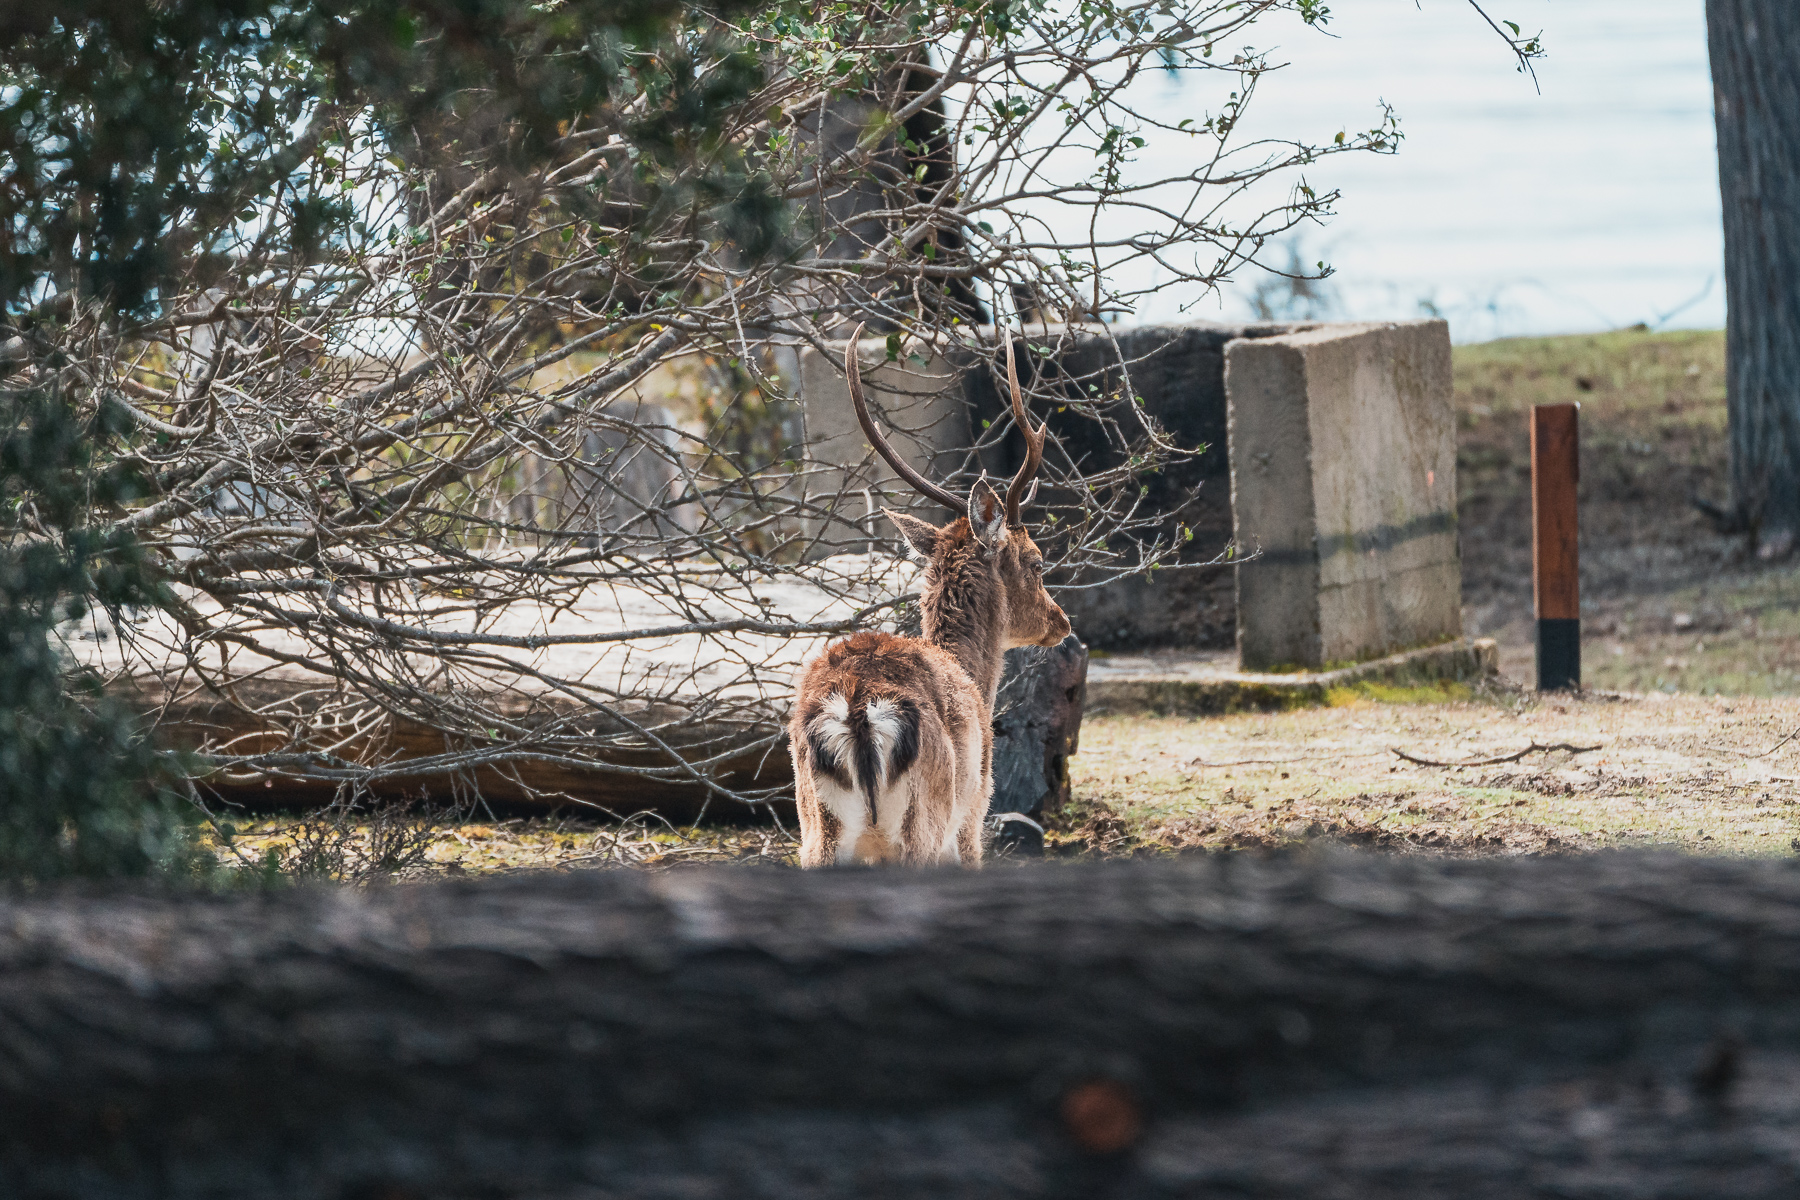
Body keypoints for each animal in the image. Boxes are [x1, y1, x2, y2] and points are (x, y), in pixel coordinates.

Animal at [787, 326, 1072, 867]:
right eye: (1037, 562)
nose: (1061, 621)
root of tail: (857, 709)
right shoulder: (974, 812)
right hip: (925, 826)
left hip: (816, 831)